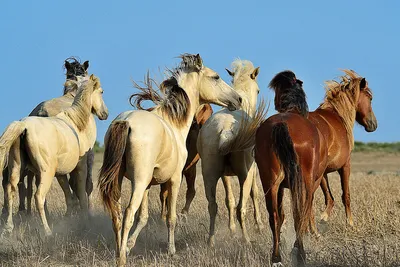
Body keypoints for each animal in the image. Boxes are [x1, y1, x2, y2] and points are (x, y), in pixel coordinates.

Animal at [0, 74, 108, 238]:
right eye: (101, 91)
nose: (105, 113)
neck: (76, 123)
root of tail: (23, 126)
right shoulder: (80, 168)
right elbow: (82, 193)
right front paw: (84, 219)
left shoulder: (61, 173)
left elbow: (69, 196)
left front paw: (69, 219)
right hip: (46, 173)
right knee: (39, 196)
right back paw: (47, 231)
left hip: (17, 170)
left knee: (10, 191)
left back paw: (8, 228)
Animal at [97, 53, 241, 266]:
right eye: (215, 77)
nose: (238, 99)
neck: (174, 123)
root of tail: (126, 121)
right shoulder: (174, 179)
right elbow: (170, 217)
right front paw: (171, 250)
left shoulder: (149, 185)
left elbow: (144, 217)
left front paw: (130, 245)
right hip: (138, 181)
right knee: (128, 213)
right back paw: (121, 258)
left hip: (119, 180)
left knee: (116, 213)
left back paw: (118, 250)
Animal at [198, 59, 268, 248]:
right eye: (258, 90)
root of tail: (225, 129)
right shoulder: (253, 170)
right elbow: (254, 194)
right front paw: (259, 225)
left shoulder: (225, 175)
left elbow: (228, 200)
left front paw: (232, 230)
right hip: (245, 174)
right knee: (241, 207)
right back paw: (246, 240)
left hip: (209, 174)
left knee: (213, 206)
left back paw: (211, 241)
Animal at [255, 70, 376, 266]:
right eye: (370, 97)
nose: (373, 124)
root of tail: (281, 124)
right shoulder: (344, 166)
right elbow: (344, 196)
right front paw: (349, 224)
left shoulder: (319, 174)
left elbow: (325, 198)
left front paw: (319, 226)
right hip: (302, 181)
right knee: (299, 214)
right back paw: (300, 252)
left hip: (271, 183)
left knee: (275, 217)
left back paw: (277, 257)